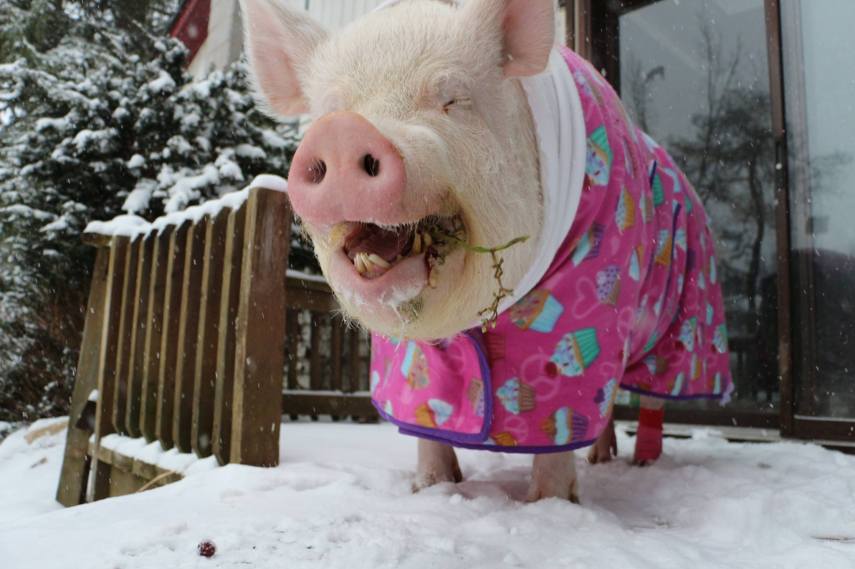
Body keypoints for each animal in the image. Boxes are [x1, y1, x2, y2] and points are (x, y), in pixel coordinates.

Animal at [237, 0, 732, 500]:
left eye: (452, 99)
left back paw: (643, 463)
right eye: (331, 109)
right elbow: (423, 412)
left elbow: (565, 406)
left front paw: (550, 502)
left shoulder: (592, 289)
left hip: (687, 319)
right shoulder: (407, 353)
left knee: (653, 393)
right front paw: (431, 488)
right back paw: (602, 458)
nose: (343, 132)